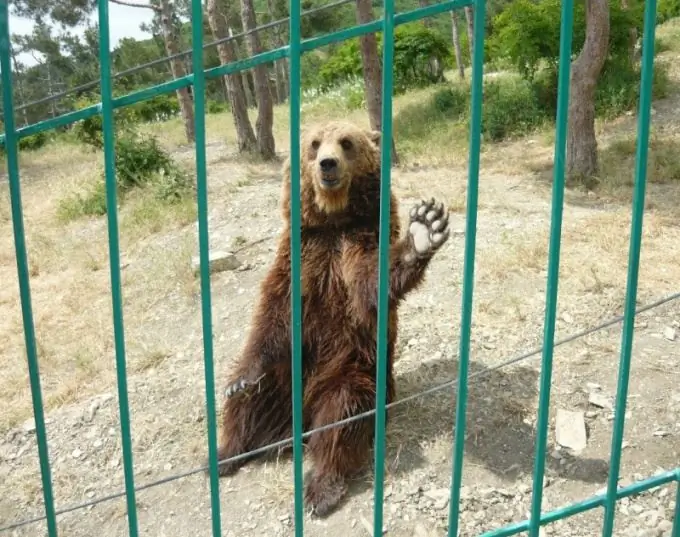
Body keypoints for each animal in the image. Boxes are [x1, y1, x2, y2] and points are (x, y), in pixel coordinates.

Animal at [216, 118, 452, 516]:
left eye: (346, 142)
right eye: (314, 144)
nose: (328, 164)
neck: (334, 220)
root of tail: (298, 423)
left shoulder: (357, 244)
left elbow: (370, 285)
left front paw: (424, 227)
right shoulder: (300, 255)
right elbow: (273, 313)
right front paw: (241, 380)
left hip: (353, 370)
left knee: (340, 418)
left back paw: (322, 488)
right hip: (286, 373)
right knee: (248, 400)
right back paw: (226, 452)